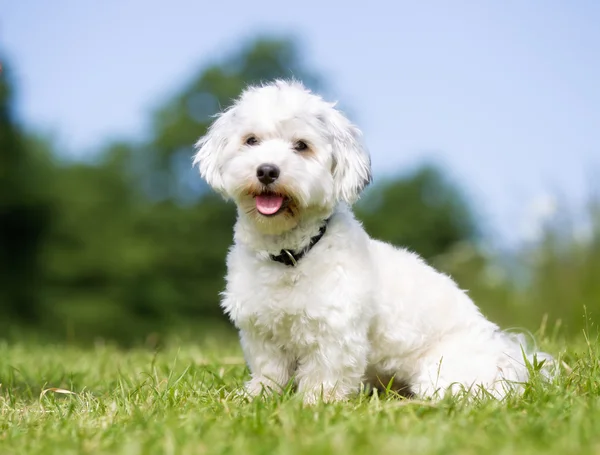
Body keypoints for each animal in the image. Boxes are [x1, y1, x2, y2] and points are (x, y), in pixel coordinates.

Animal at [193, 80, 552, 404]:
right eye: (251, 140)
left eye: (301, 146)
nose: (267, 170)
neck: (291, 254)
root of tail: (510, 359)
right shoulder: (260, 331)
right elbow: (269, 372)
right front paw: (256, 396)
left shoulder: (336, 334)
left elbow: (325, 375)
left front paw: (314, 404)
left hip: (443, 374)